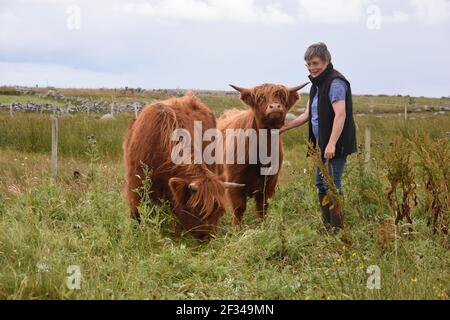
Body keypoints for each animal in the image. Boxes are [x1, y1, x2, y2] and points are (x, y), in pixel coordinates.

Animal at [218, 84, 310, 226]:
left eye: (282, 97)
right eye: (261, 98)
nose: (275, 106)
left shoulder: (269, 182)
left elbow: (262, 206)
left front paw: (261, 226)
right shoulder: (234, 181)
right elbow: (239, 208)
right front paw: (236, 229)